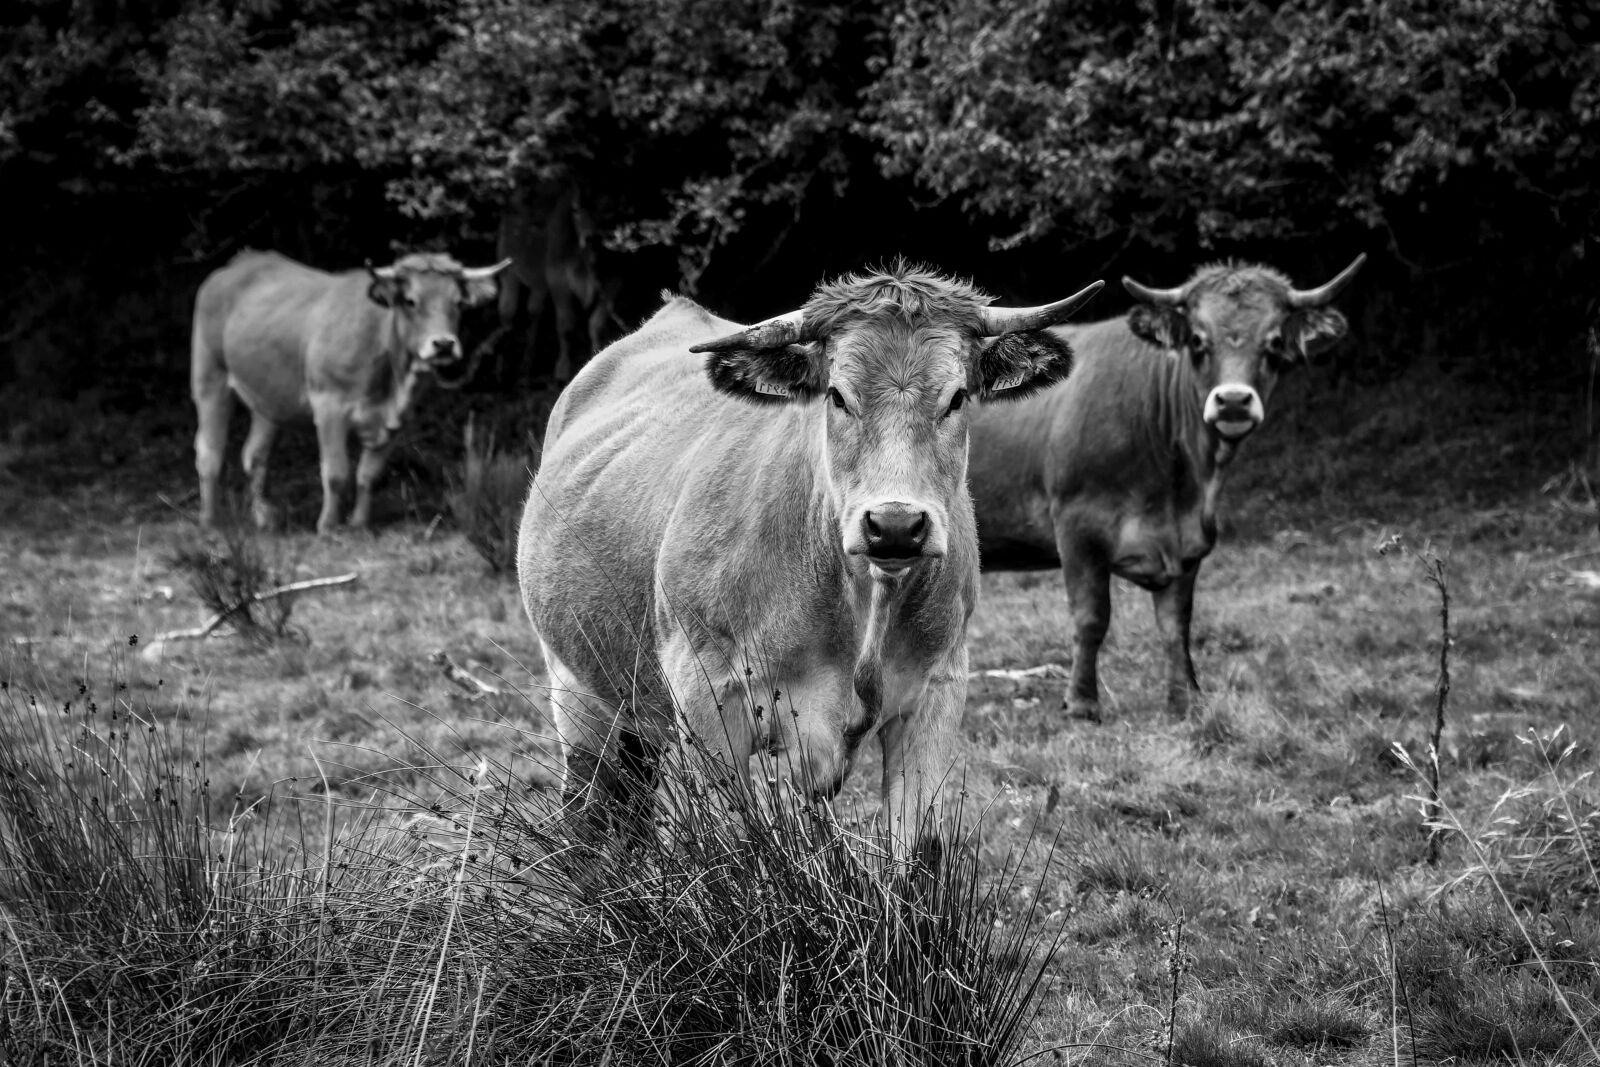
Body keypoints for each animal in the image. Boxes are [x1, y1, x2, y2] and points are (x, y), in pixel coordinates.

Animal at [191, 250, 509, 534]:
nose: (443, 344)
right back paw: (210, 519)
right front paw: (328, 526)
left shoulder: (398, 421)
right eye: (410, 300)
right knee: (209, 452)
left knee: (254, 455)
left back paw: (263, 518)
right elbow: (336, 473)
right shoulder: (329, 406)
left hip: (268, 398)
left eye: (459, 302)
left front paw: (358, 523)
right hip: (209, 378)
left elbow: (369, 474)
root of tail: (238, 264)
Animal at [495, 184, 623, 384]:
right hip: (509, 274)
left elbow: (596, 325)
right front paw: (562, 370)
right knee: (507, 314)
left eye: (606, 212)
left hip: (538, 285)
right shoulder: (559, 282)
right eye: (575, 210)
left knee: (534, 312)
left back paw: (526, 366)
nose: (591, 237)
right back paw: (503, 369)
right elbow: (566, 326)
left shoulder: (612, 284)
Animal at [517, 264, 1103, 859]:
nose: (895, 524)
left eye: (957, 396)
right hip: (578, 694)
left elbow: (915, 853)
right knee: (587, 817)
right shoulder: (707, 703)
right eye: (838, 396)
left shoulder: (937, 697)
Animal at [967, 255, 1365, 723]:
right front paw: (1082, 703)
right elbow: (1091, 617)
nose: (1233, 401)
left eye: (1273, 343)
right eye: (1197, 340)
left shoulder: (1188, 544)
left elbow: (1177, 624)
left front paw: (1186, 698)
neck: (1181, 487)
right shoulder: (1077, 526)